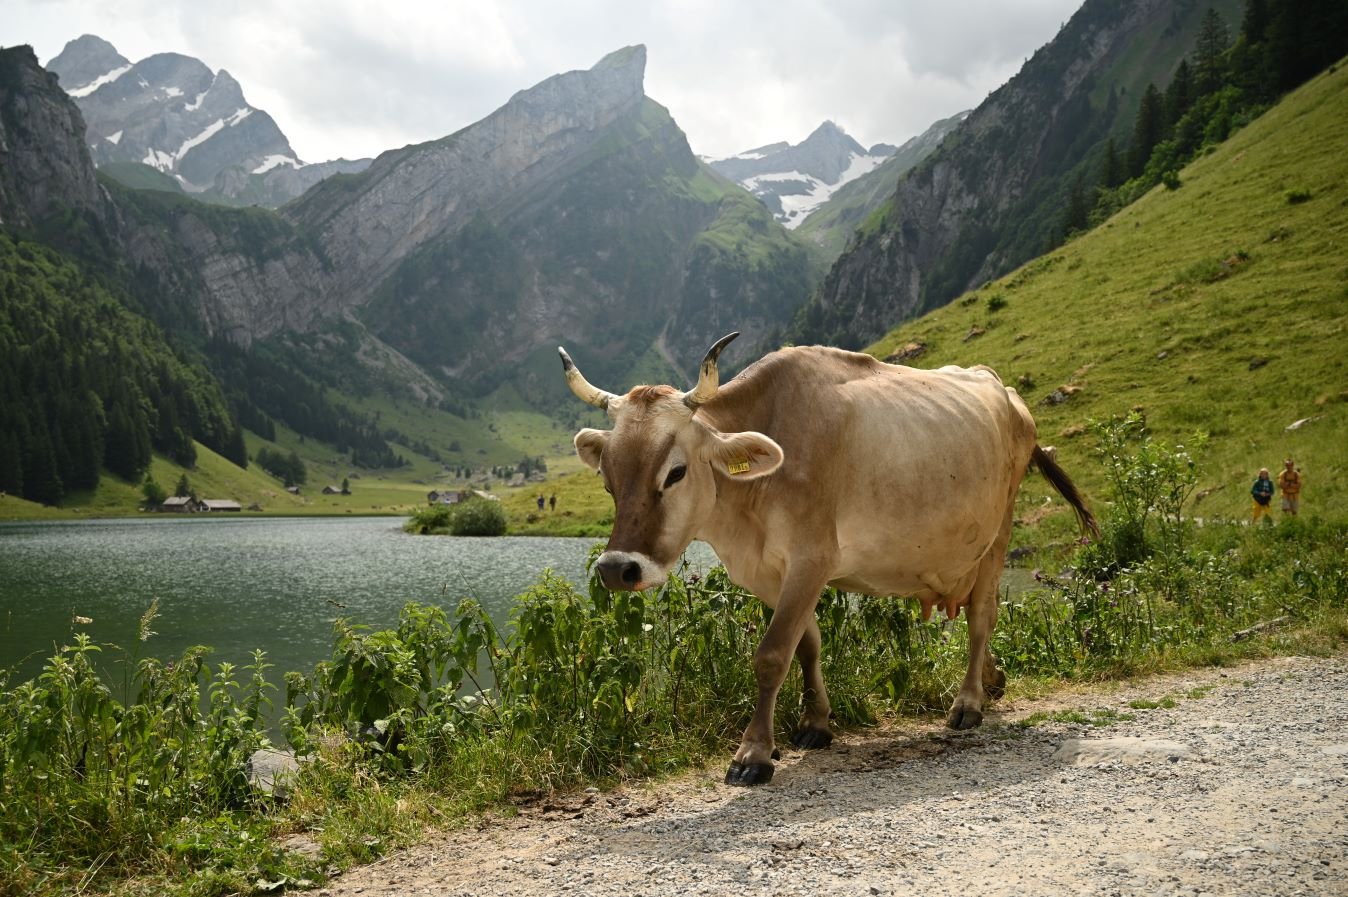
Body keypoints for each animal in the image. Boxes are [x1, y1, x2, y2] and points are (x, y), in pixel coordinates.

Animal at [559, 332, 1098, 786]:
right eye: (607, 477)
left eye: (675, 472)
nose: (617, 569)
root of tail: (1003, 388)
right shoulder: (768, 572)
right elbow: (806, 644)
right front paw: (816, 723)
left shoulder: (812, 557)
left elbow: (772, 654)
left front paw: (753, 754)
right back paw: (993, 679)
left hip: (998, 532)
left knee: (982, 617)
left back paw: (968, 703)